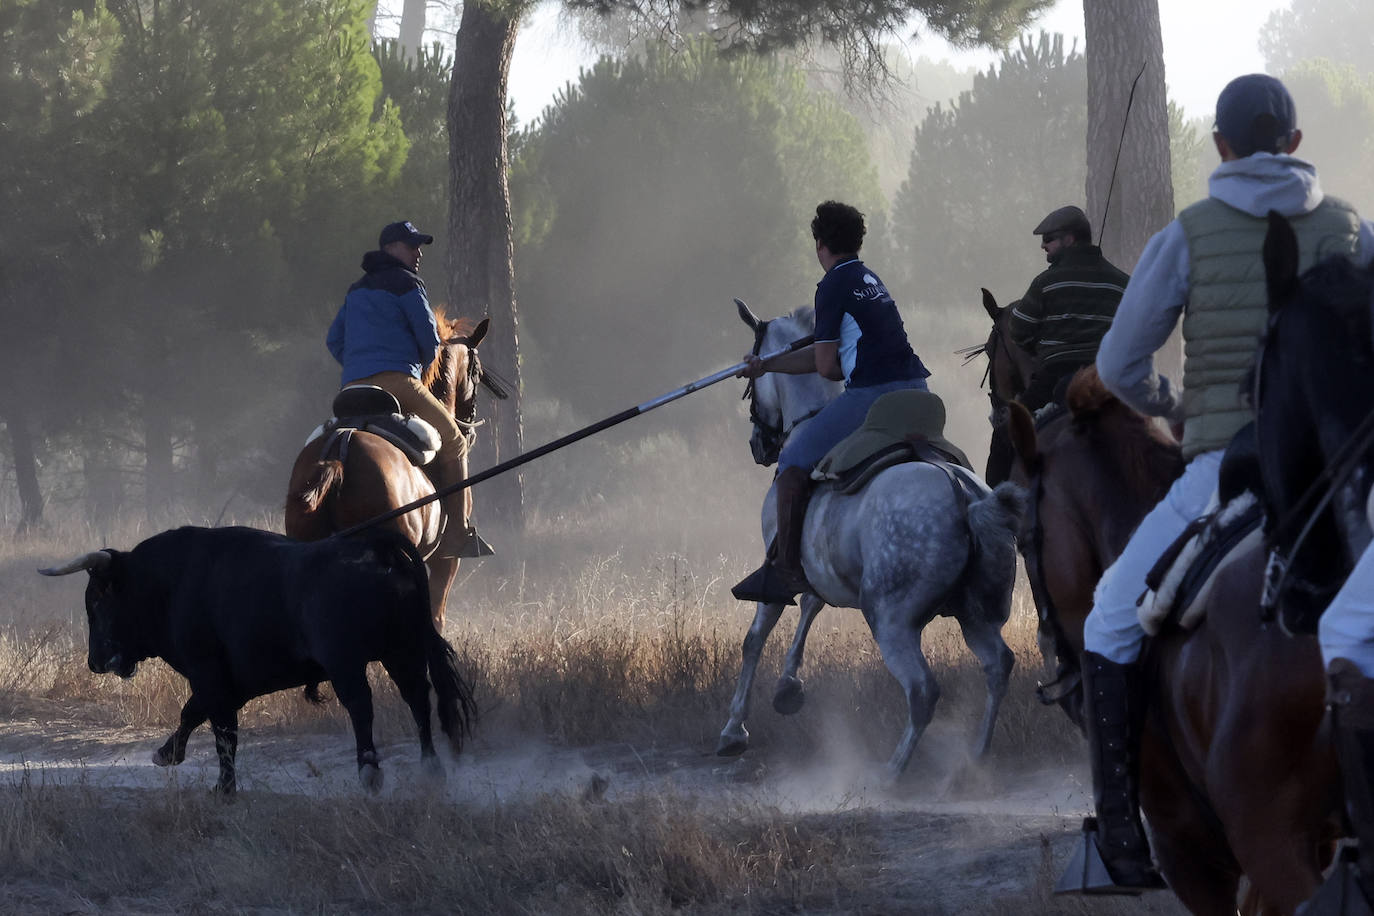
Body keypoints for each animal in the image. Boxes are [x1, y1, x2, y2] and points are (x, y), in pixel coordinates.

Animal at [40, 530, 478, 796]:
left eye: (98, 599)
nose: (96, 661)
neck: (172, 583)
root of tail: (375, 548)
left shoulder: (209, 671)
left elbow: (221, 730)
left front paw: (224, 787)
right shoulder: (232, 682)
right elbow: (194, 713)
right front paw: (168, 753)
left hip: (347, 661)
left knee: (361, 705)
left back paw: (369, 768)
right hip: (402, 651)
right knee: (418, 699)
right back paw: (430, 767)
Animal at [714, 304, 1027, 780]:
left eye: (751, 385)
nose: (758, 445)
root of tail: (966, 498)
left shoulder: (778, 570)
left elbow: (755, 637)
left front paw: (734, 730)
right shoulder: (822, 567)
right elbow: (810, 605)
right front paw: (788, 688)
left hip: (890, 617)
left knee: (922, 690)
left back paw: (891, 772)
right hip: (975, 614)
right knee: (998, 666)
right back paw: (972, 759)